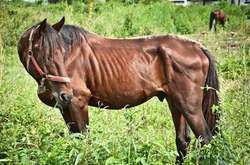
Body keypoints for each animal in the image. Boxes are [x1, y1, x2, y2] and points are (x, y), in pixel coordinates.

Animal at [17, 17, 220, 162]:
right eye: (47, 55)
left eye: (61, 54)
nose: (65, 93)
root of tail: (198, 47)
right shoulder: (65, 107)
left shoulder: (77, 103)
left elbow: (84, 142)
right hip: (175, 102)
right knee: (183, 142)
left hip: (189, 106)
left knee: (206, 139)